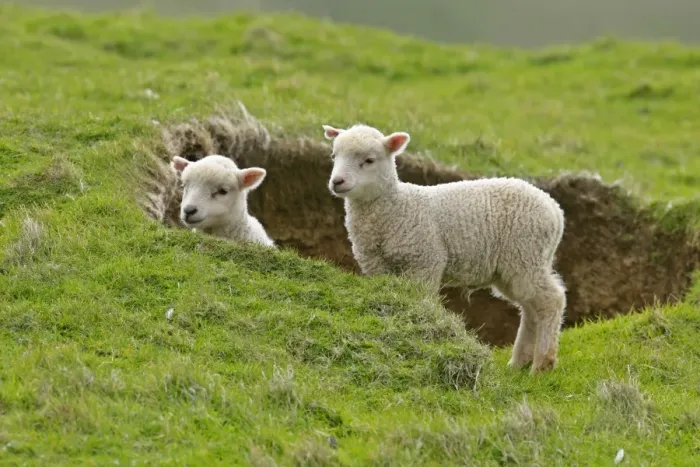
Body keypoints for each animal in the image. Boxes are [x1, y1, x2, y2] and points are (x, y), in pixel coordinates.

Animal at [322, 123, 567, 374]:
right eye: (334, 156)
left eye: (369, 160)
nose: (337, 182)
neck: (395, 208)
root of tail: (555, 210)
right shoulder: (375, 265)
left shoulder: (425, 261)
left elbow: (419, 300)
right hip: (518, 264)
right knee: (531, 308)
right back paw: (518, 363)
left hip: (525, 254)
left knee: (551, 300)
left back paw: (542, 365)